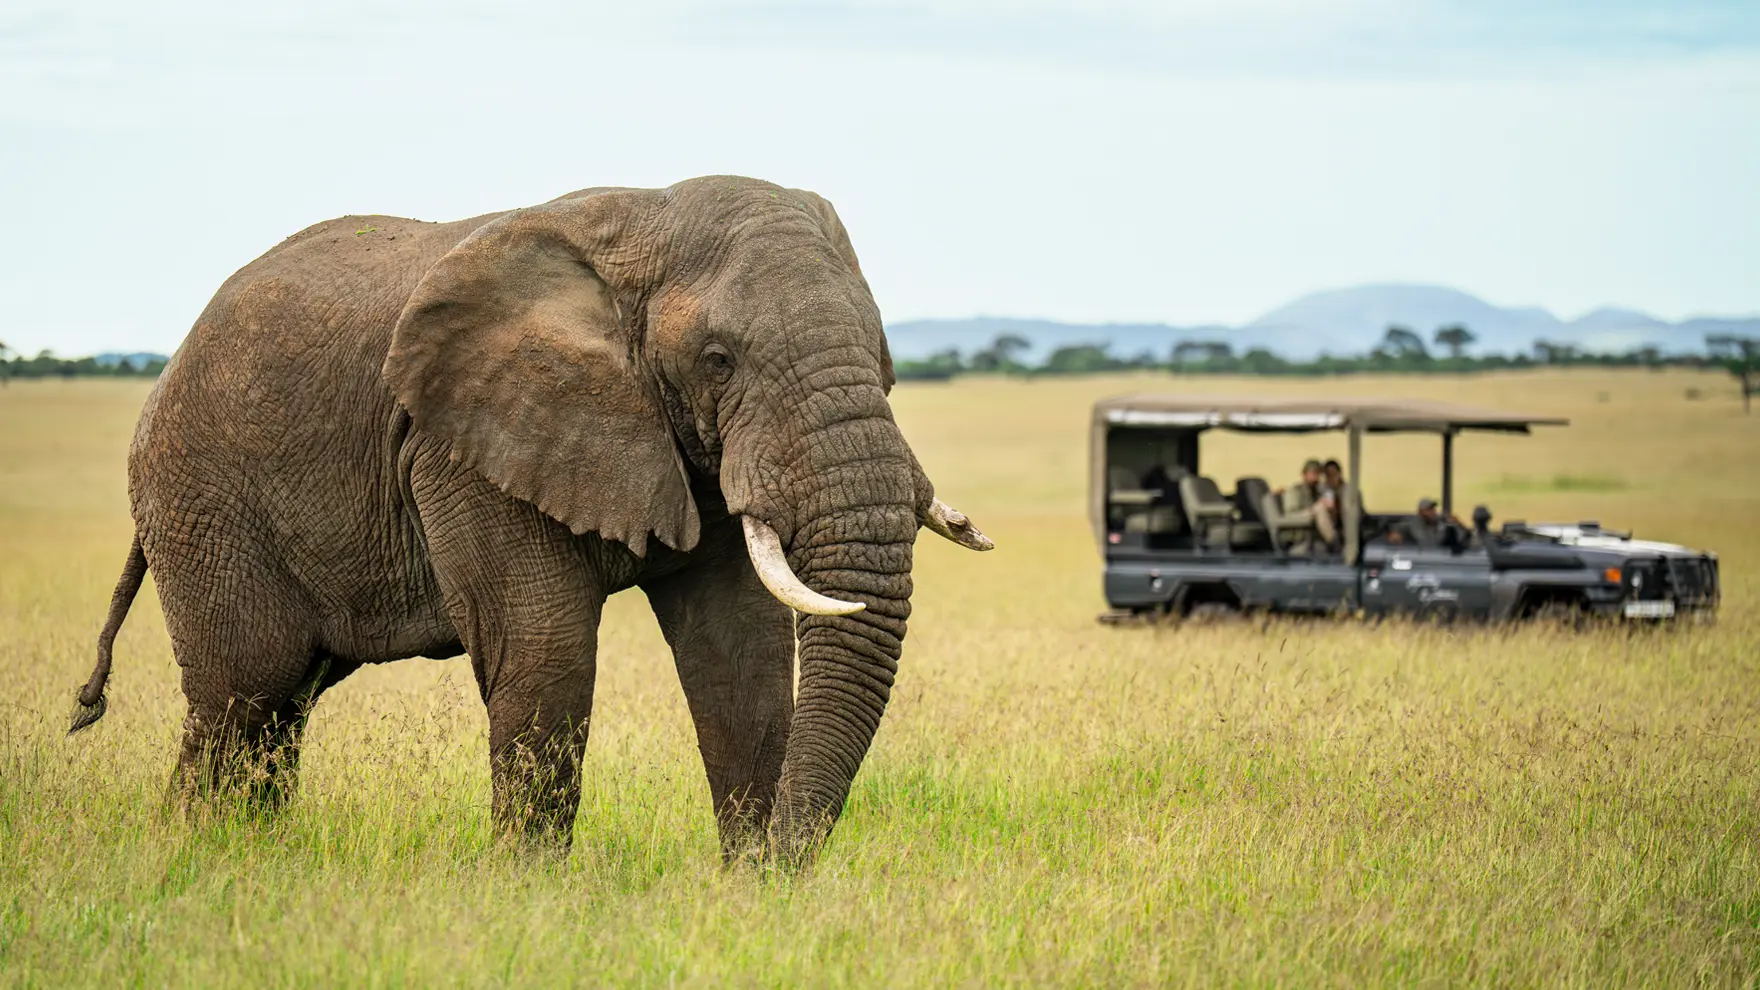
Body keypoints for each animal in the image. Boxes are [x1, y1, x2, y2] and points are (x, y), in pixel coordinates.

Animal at [68, 176, 992, 865]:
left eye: (883, 355)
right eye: (718, 359)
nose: (778, 861)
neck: (647, 219)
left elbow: (744, 657)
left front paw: (749, 896)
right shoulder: (463, 447)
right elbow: (545, 654)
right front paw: (530, 891)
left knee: (282, 707)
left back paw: (250, 857)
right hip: (203, 495)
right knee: (242, 693)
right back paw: (197, 856)